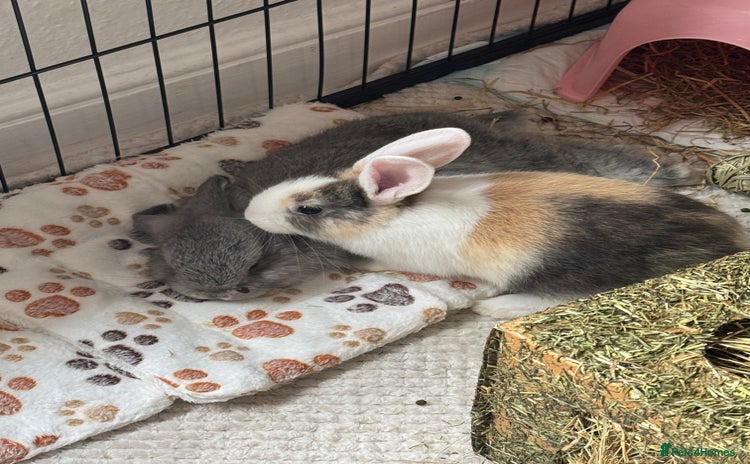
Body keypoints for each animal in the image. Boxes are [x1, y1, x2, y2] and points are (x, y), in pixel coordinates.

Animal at [244, 127, 748, 317]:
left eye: (310, 209)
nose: (250, 210)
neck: (390, 217)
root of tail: (724, 239)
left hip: (565, 273)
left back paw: (491, 308)